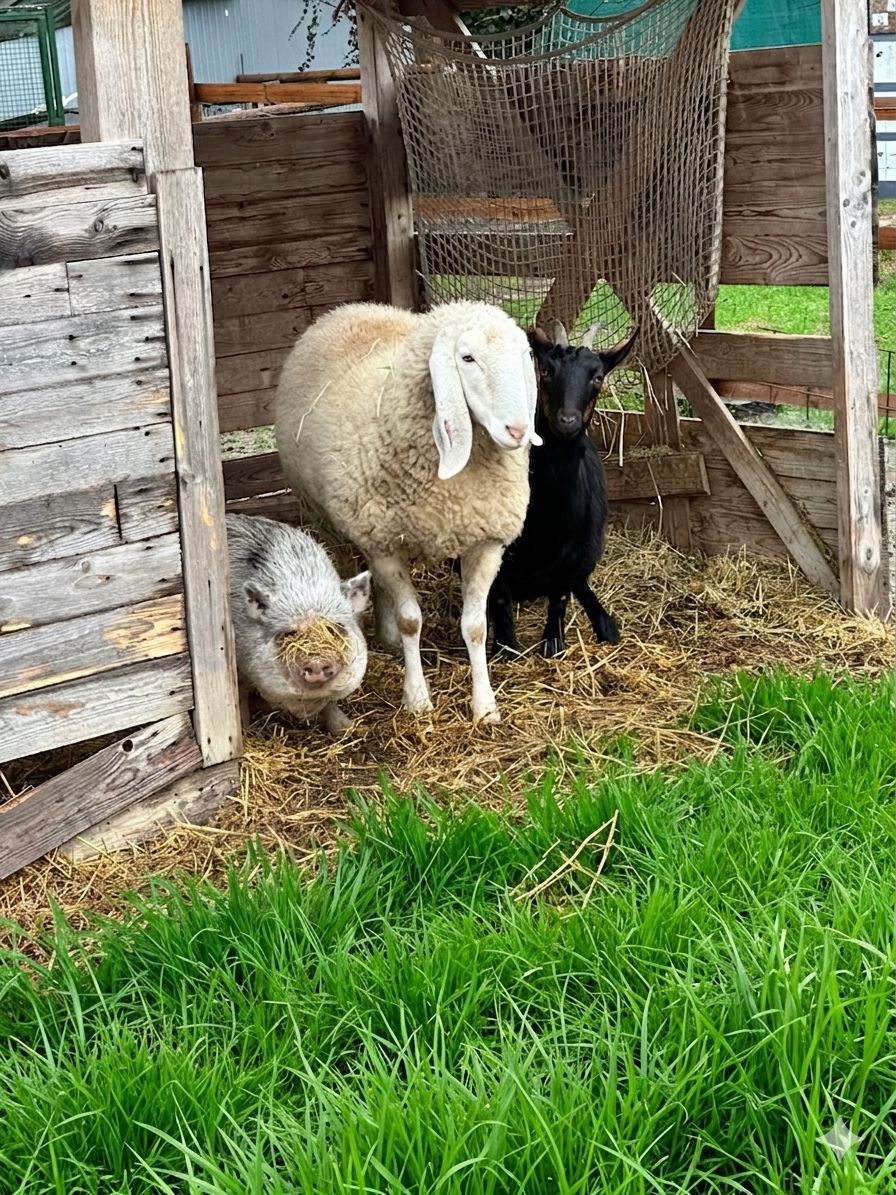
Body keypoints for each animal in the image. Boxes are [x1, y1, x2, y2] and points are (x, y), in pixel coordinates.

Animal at [226, 514, 371, 735]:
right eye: (290, 632)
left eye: (333, 628)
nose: (316, 661)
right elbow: (239, 696)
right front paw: (244, 731)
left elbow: (331, 703)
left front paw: (345, 729)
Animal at [273, 300, 541, 724]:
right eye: (467, 358)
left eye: (523, 355)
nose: (517, 430)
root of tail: (350, 308)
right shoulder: (385, 543)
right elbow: (410, 620)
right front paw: (417, 700)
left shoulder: (485, 542)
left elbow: (476, 626)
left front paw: (485, 707)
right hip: (333, 521)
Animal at [488, 319, 638, 658]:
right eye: (545, 371)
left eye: (597, 376)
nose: (567, 420)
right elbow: (499, 596)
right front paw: (505, 648)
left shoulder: (572, 552)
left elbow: (560, 596)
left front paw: (553, 643)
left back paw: (605, 624)